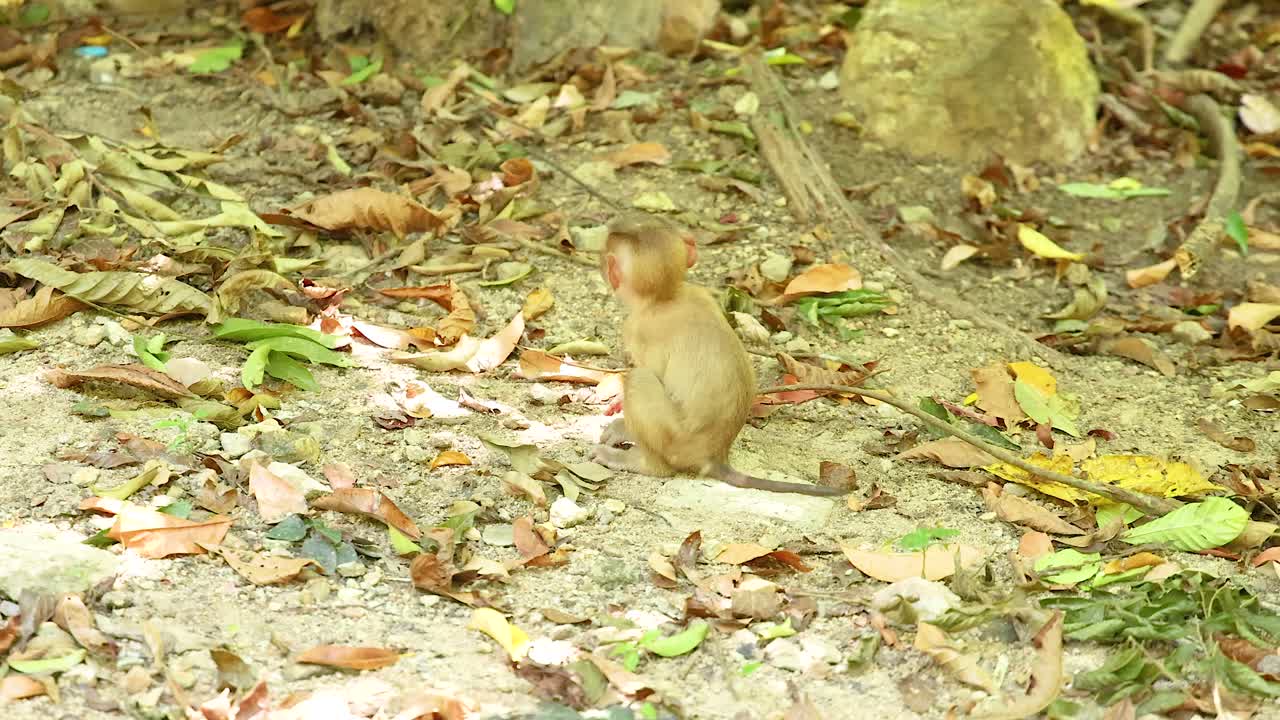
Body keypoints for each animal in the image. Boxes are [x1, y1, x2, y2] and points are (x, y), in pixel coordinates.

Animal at [592, 214, 845, 497]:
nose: (600, 263)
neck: (667, 297)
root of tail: (714, 457)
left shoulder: (636, 328)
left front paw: (621, 418)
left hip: (674, 440)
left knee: (639, 379)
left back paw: (642, 462)